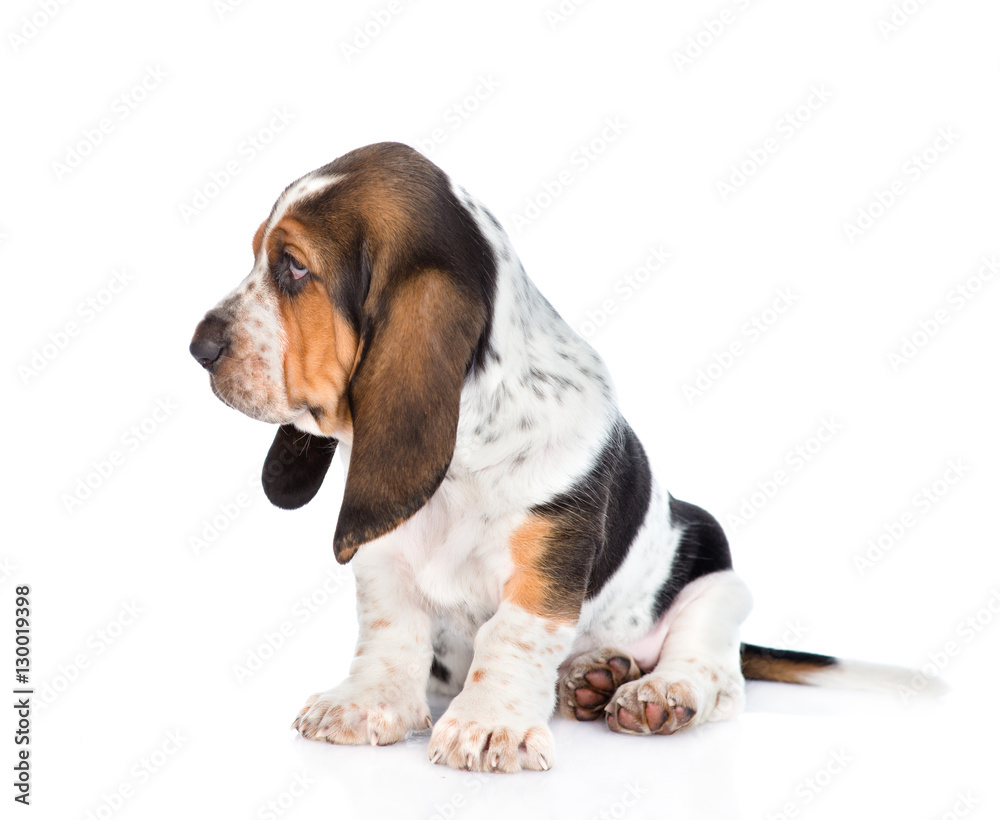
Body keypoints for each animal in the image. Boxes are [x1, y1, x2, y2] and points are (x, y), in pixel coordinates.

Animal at [188, 143, 916, 776]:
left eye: (293, 266)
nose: (198, 348)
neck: (462, 471)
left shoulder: (549, 562)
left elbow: (513, 635)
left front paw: (489, 726)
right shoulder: (382, 558)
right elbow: (390, 632)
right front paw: (365, 703)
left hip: (720, 580)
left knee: (717, 673)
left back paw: (652, 691)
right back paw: (594, 677)